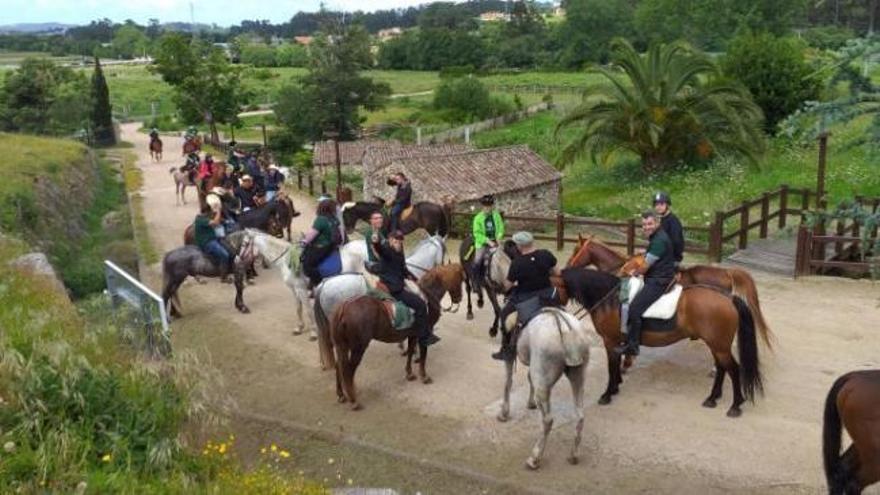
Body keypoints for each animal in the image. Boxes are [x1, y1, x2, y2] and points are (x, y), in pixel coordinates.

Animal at [328, 266, 468, 412]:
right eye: (460, 280)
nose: (459, 298)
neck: (427, 297)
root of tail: (344, 307)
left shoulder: (413, 335)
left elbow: (411, 351)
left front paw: (410, 374)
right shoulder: (424, 334)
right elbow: (423, 356)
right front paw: (424, 376)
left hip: (342, 346)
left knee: (339, 366)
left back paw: (341, 394)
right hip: (358, 347)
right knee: (348, 370)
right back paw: (354, 401)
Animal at [498, 308, 588, 470]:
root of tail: (567, 331)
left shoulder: (510, 351)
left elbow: (508, 380)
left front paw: (504, 413)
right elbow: (528, 378)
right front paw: (530, 403)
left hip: (543, 381)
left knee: (548, 420)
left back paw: (535, 458)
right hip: (578, 377)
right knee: (580, 415)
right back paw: (573, 455)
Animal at [564, 268, 764, 418]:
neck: (611, 299)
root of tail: (728, 298)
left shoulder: (610, 341)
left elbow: (611, 367)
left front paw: (607, 394)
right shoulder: (616, 342)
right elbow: (616, 366)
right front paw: (616, 386)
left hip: (719, 346)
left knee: (733, 369)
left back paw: (735, 406)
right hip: (716, 345)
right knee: (722, 367)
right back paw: (712, 398)